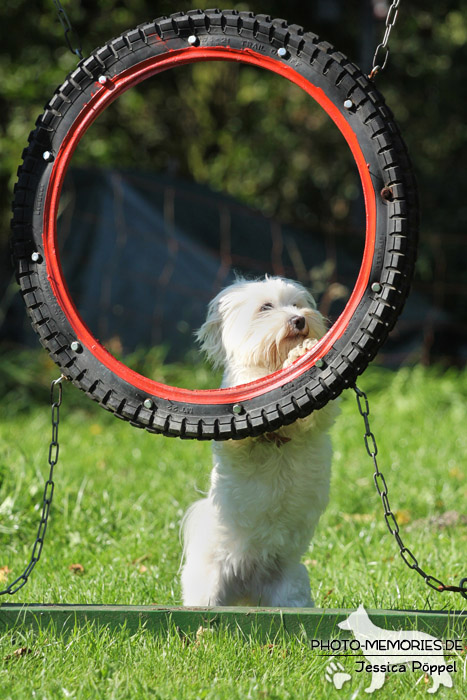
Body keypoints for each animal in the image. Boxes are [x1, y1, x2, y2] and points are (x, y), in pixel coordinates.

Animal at [181, 276, 338, 604]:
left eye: (297, 304)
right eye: (266, 307)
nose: (299, 320)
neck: (272, 365)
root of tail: (246, 583)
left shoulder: (319, 417)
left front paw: (303, 353)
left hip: (292, 591)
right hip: (207, 586)